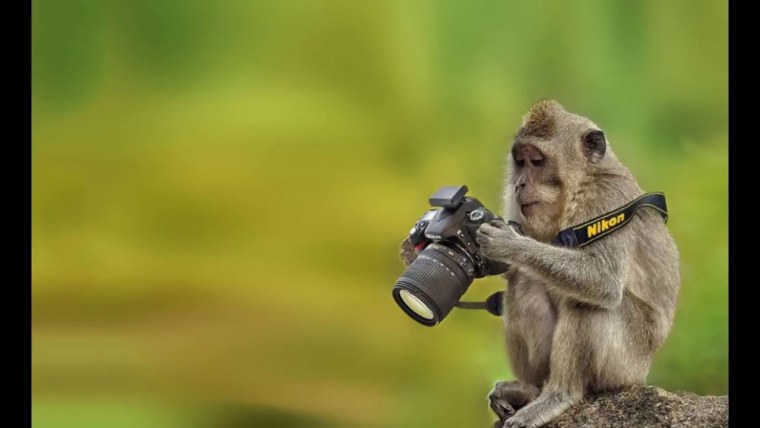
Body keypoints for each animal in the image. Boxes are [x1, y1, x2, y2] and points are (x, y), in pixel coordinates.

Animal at [471, 99, 680, 428]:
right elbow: (514, 274)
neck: (581, 183)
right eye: (520, 161)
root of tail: (642, 375)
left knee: (586, 303)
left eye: (537, 161)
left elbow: (603, 280)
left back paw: (560, 394)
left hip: (626, 365)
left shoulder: (606, 200)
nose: (520, 184)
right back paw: (530, 390)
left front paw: (510, 244)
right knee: (526, 282)